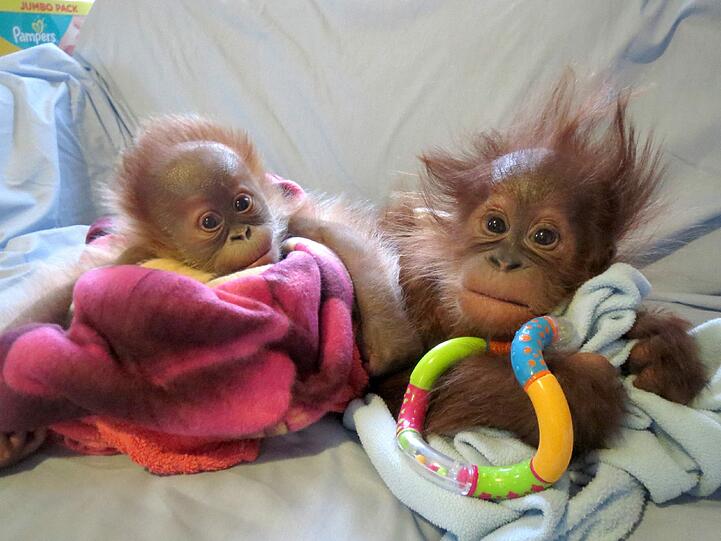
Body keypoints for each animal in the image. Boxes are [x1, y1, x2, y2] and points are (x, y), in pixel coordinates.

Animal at [0, 115, 421, 469]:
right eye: (210, 222)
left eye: (242, 202)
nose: (242, 233)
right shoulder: (127, 253)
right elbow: (63, 292)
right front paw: (9, 433)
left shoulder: (295, 218)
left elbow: (345, 241)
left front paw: (387, 346)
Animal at [375, 78, 707, 456]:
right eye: (495, 225)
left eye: (544, 236)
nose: (505, 261)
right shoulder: (414, 286)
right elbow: (393, 387)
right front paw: (593, 381)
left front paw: (662, 352)